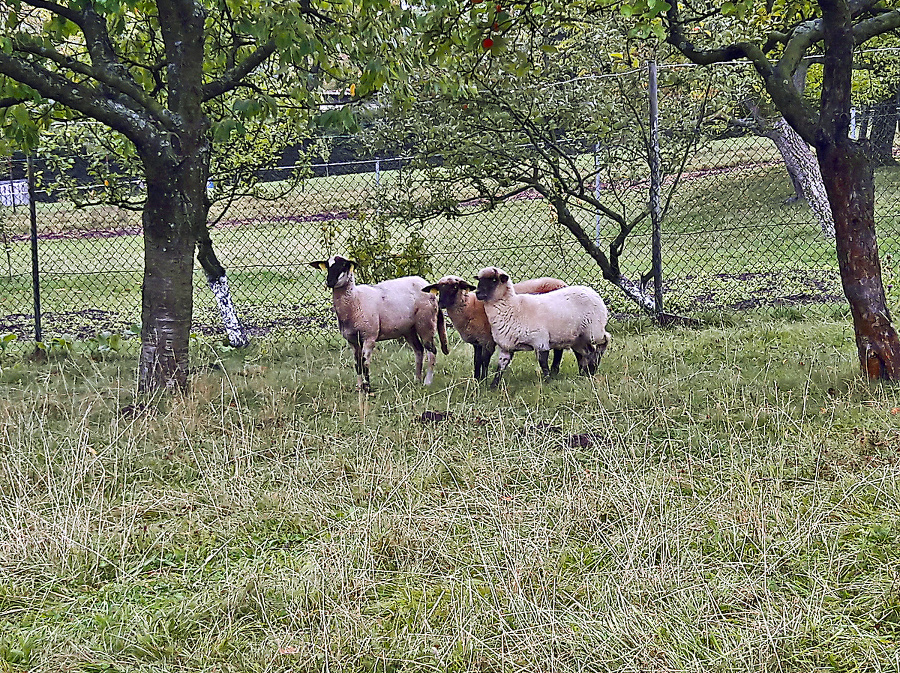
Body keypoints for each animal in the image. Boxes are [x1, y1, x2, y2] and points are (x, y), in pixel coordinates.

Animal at [312, 255, 448, 392]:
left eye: (344, 265)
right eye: (327, 266)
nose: (329, 282)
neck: (355, 300)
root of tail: (428, 286)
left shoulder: (369, 337)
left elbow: (365, 363)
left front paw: (367, 388)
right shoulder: (352, 340)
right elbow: (357, 364)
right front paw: (359, 388)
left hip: (426, 323)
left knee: (432, 351)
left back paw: (427, 382)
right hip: (409, 329)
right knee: (419, 350)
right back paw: (417, 379)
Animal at [424, 272, 568, 378]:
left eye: (455, 287)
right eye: (439, 288)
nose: (441, 303)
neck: (470, 306)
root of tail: (562, 283)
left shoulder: (488, 340)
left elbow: (484, 360)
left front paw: (483, 381)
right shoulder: (477, 342)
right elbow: (477, 361)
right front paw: (476, 380)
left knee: (558, 349)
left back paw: (554, 371)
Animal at [472, 266, 612, 386]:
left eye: (494, 280)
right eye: (479, 280)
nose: (478, 293)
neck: (513, 306)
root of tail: (592, 291)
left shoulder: (540, 340)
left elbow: (543, 363)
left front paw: (548, 381)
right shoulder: (506, 347)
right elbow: (500, 367)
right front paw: (493, 387)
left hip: (594, 330)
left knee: (605, 339)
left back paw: (594, 365)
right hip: (577, 338)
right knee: (588, 352)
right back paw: (588, 372)